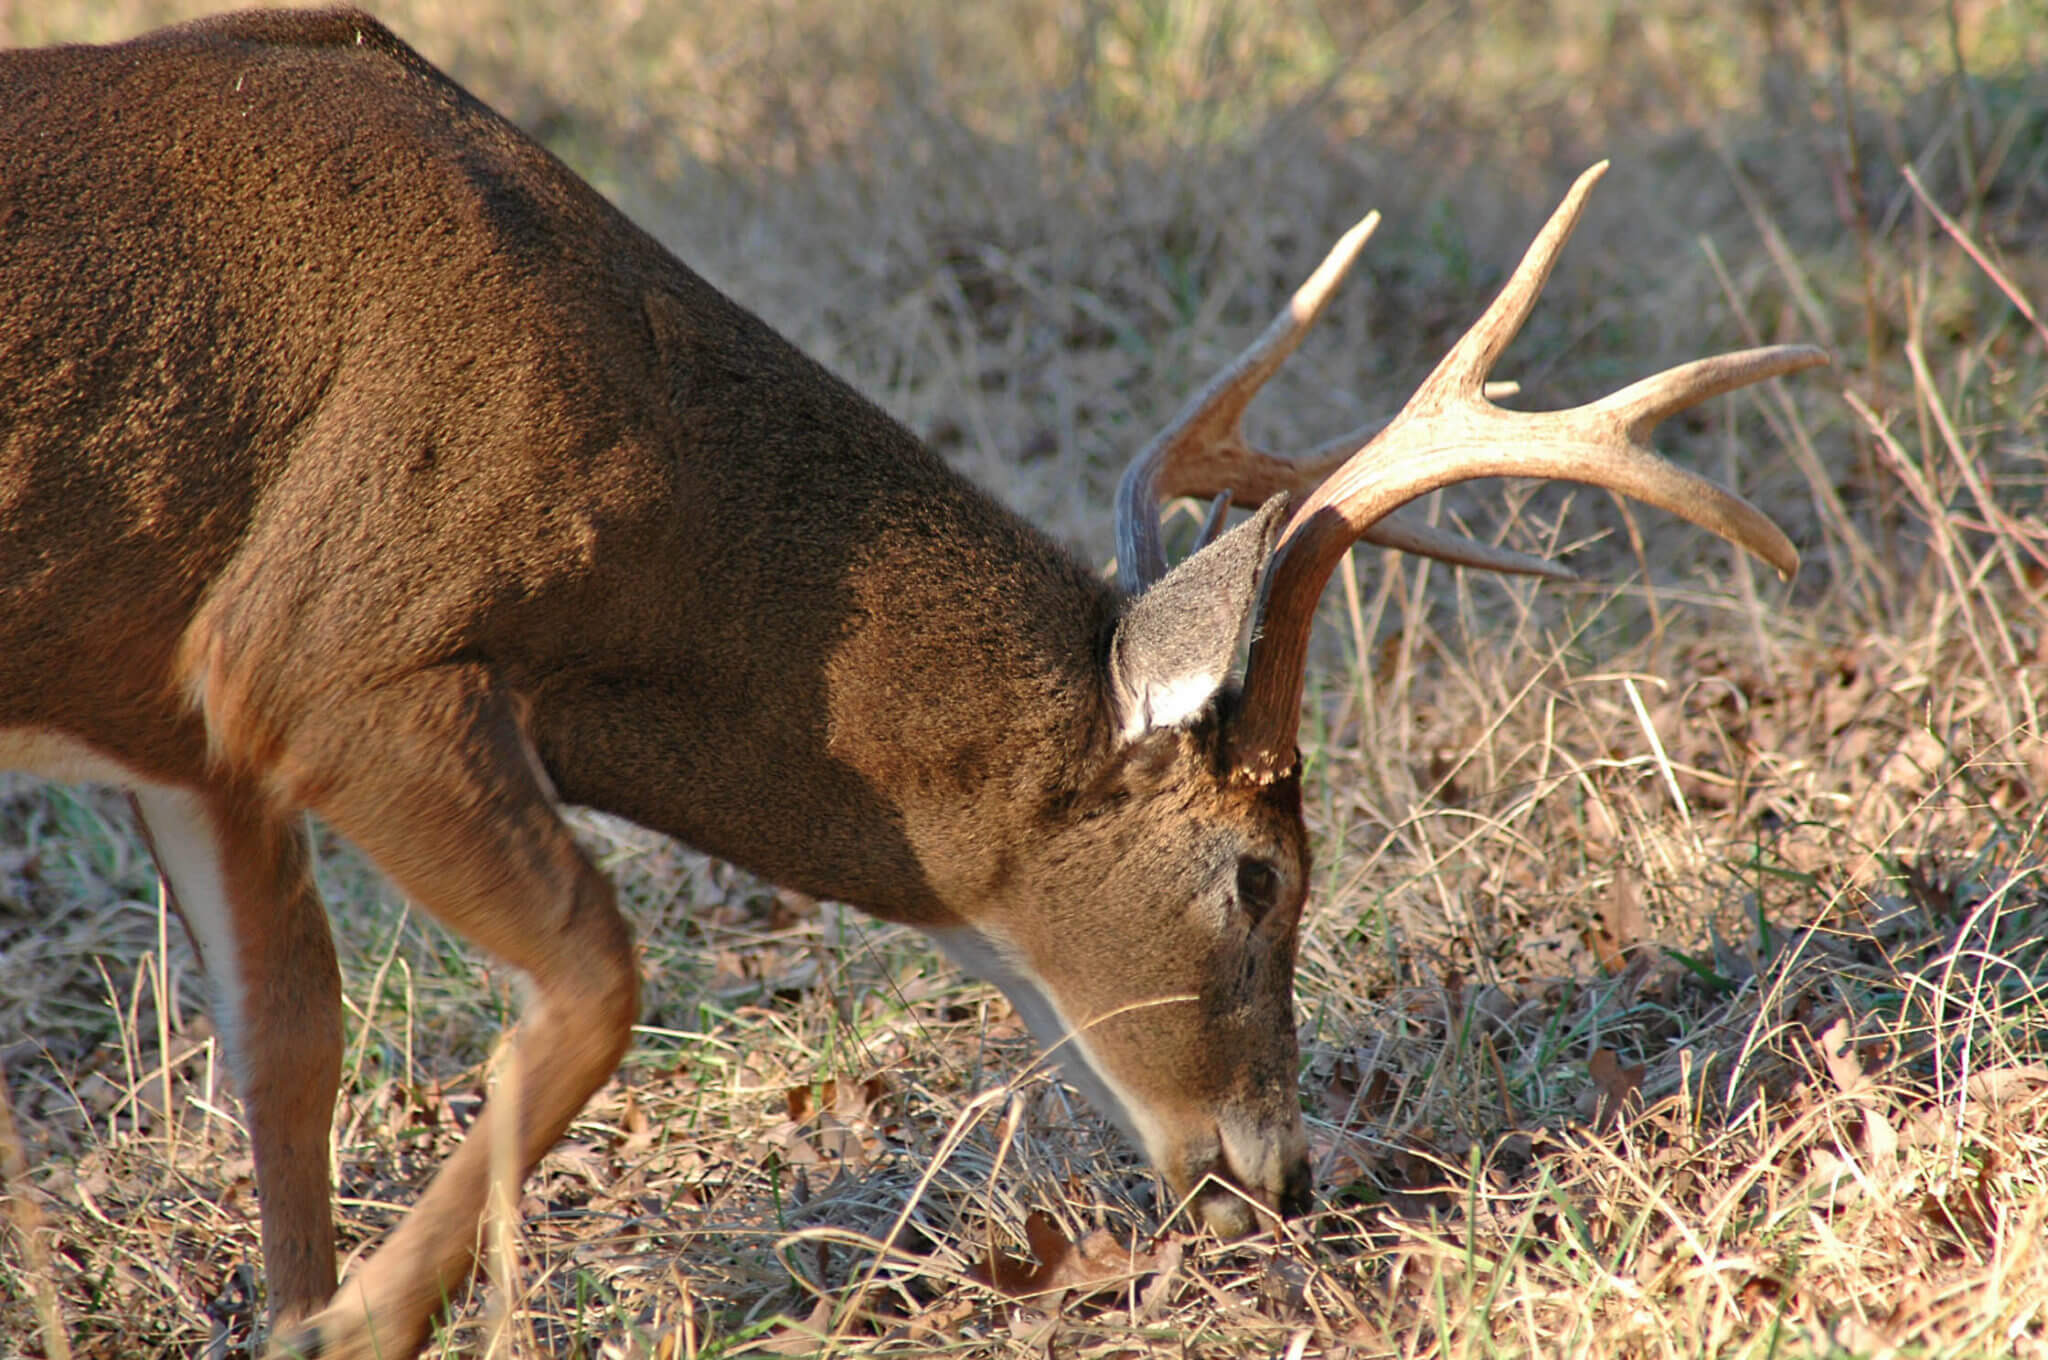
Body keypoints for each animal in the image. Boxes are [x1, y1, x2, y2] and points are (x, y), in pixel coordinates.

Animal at [0, 10, 1826, 1360]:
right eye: (1261, 876)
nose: (1284, 1172)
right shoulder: (324, 645)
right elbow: (592, 970)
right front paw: (365, 1323)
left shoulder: (185, 730)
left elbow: (286, 1040)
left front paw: (302, 1311)